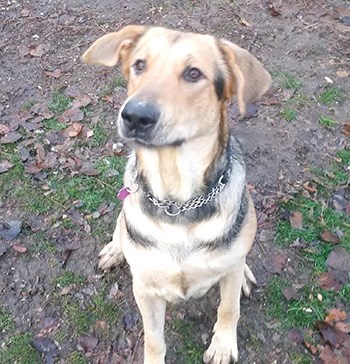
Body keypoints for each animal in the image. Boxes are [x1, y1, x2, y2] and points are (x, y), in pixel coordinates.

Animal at [82, 26, 270, 364]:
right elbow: (154, 339)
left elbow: (229, 308)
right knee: (120, 229)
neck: (177, 201)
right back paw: (115, 250)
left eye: (194, 73)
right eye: (139, 65)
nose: (135, 116)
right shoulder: (145, 291)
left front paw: (223, 345)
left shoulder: (228, 277)